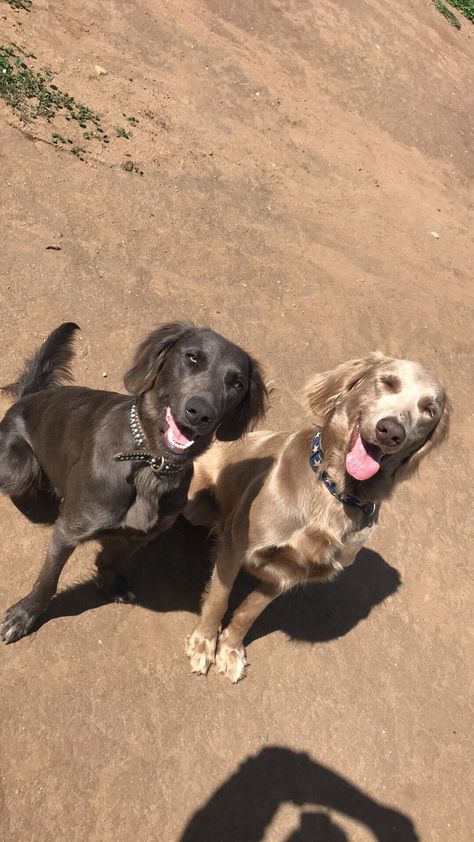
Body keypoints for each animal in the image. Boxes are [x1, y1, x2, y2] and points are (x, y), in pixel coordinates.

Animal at [0, 318, 266, 640]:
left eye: (237, 383)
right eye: (192, 358)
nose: (200, 412)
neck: (150, 465)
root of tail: (28, 396)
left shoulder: (144, 534)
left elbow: (113, 560)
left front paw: (107, 583)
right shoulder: (68, 531)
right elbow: (47, 580)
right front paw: (25, 614)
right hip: (18, 469)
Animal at [184, 352, 448, 680]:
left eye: (429, 409)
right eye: (387, 382)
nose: (391, 431)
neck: (335, 492)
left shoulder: (290, 572)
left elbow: (248, 613)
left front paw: (231, 650)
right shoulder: (235, 543)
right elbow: (219, 599)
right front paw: (204, 643)